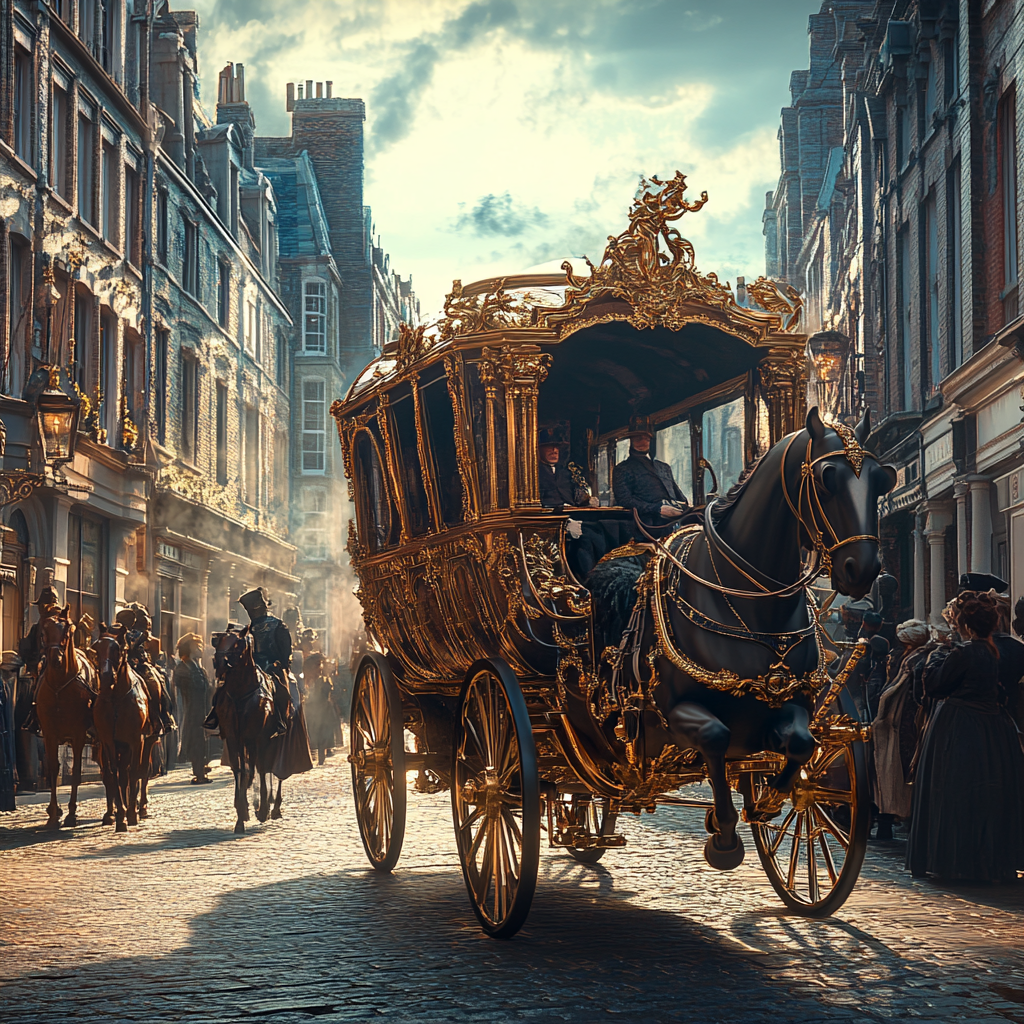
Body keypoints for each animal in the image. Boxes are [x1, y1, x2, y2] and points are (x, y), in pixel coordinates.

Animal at [35, 602, 97, 827]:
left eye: (68, 630)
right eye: (43, 631)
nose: (56, 659)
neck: (60, 686)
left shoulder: (78, 735)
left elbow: (76, 772)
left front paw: (71, 813)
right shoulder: (50, 734)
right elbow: (53, 769)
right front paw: (54, 813)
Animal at [94, 622, 156, 831]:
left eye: (117, 649)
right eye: (96, 648)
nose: (105, 679)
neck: (116, 700)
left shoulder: (136, 741)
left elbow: (134, 772)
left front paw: (131, 814)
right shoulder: (108, 743)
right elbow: (114, 775)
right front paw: (120, 816)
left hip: (147, 742)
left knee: (142, 770)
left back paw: (141, 807)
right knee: (120, 775)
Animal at [212, 622, 280, 831]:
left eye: (237, 644)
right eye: (219, 641)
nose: (219, 664)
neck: (241, 693)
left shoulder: (259, 737)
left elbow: (262, 768)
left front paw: (263, 809)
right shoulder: (234, 738)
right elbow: (239, 769)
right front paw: (241, 814)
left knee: (267, 768)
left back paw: (272, 806)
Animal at [593, 407, 897, 864]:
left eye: (882, 480)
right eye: (827, 476)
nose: (862, 570)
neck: (754, 609)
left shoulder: (788, 705)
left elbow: (802, 744)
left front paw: (770, 802)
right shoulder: (674, 711)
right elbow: (716, 738)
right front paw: (723, 836)